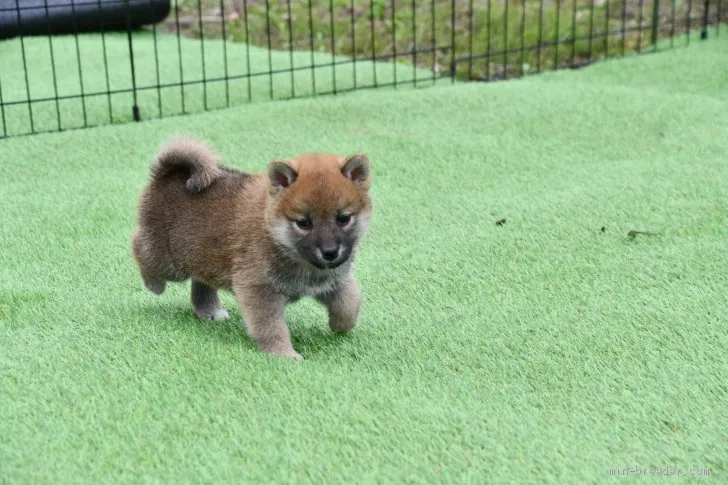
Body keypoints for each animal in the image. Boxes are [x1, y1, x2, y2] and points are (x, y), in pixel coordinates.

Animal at [131, 136, 372, 360]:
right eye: (303, 223)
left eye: (344, 219)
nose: (330, 252)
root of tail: (167, 173)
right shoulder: (259, 289)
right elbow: (271, 327)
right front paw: (283, 353)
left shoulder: (334, 280)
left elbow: (350, 302)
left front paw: (340, 325)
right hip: (169, 261)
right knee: (140, 249)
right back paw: (153, 283)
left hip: (202, 257)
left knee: (201, 283)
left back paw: (210, 312)